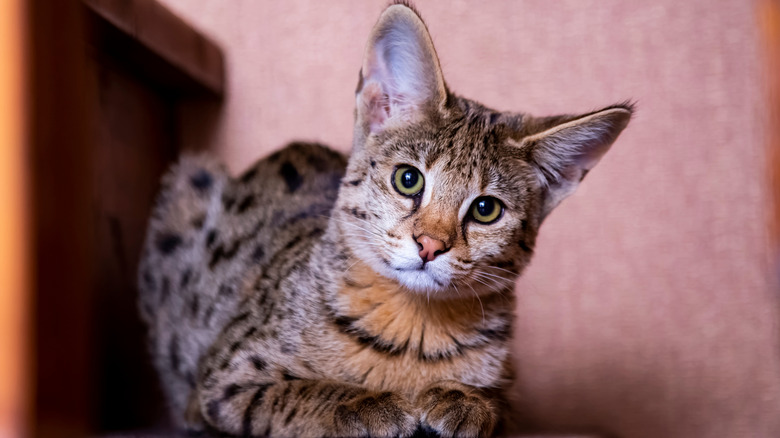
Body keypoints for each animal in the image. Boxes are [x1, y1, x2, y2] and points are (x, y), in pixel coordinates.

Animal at [136, 1, 632, 436]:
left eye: (486, 209)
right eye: (408, 179)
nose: (430, 245)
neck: (415, 325)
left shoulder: (512, 396)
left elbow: (498, 403)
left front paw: (466, 399)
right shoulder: (216, 386)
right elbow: (294, 394)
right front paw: (366, 403)